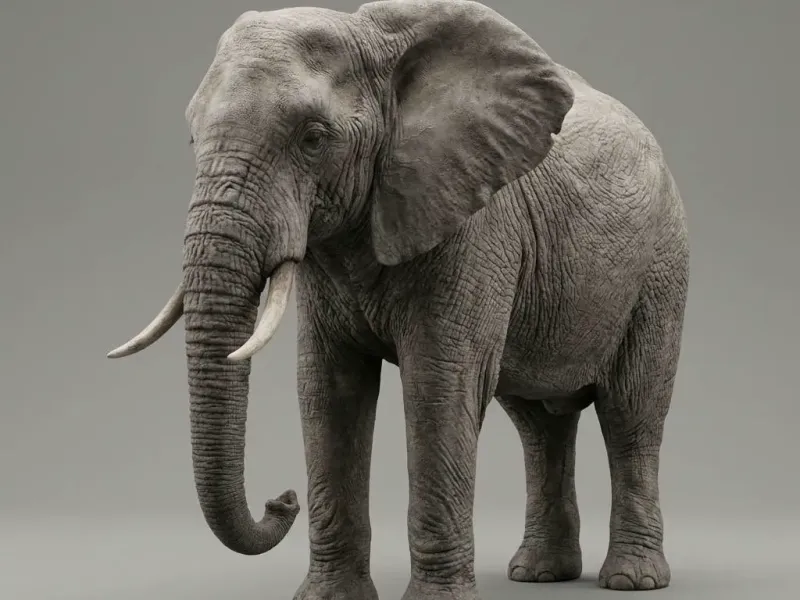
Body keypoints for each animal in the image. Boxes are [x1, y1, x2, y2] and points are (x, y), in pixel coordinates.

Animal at [108, 1, 690, 598]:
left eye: (313, 138)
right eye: (192, 138)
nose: (282, 499)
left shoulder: (474, 228)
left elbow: (439, 386)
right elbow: (327, 389)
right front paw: (329, 597)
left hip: (661, 268)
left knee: (630, 412)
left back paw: (632, 579)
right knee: (537, 424)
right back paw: (539, 574)